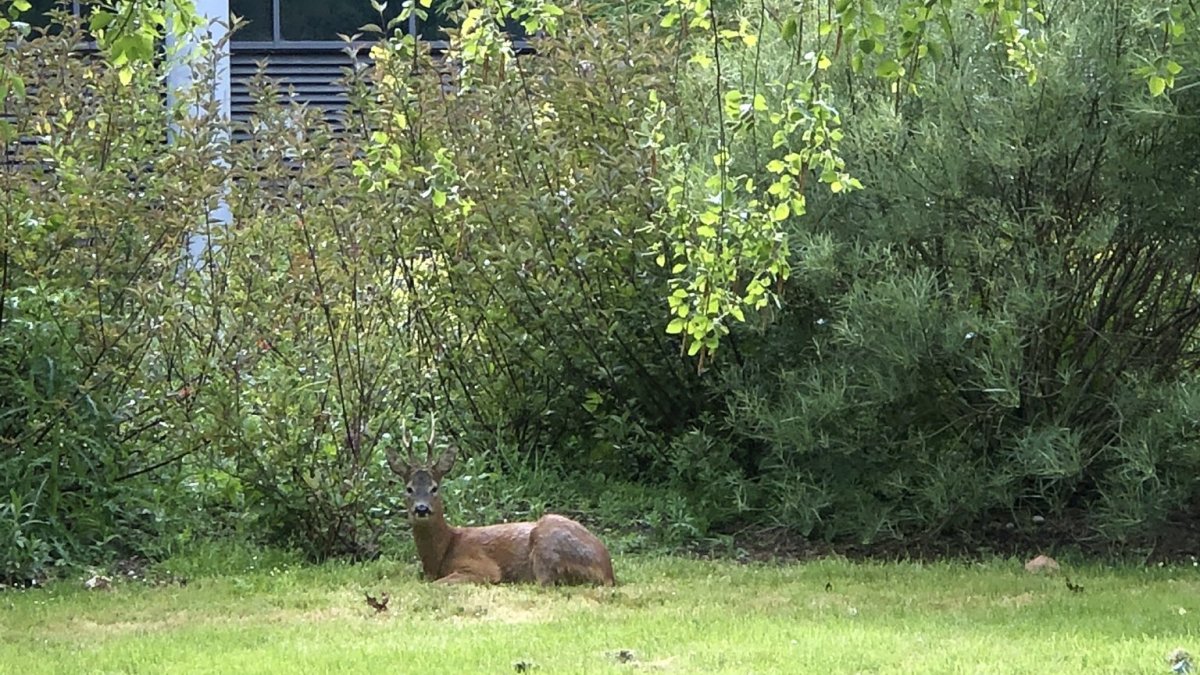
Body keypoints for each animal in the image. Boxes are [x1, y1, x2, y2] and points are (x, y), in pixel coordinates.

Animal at [386, 420, 614, 583]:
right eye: (409, 489)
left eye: (434, 488)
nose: (421, 509)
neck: (441, 554)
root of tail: (608, 570)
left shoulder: (482, 567)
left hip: (547, 544)